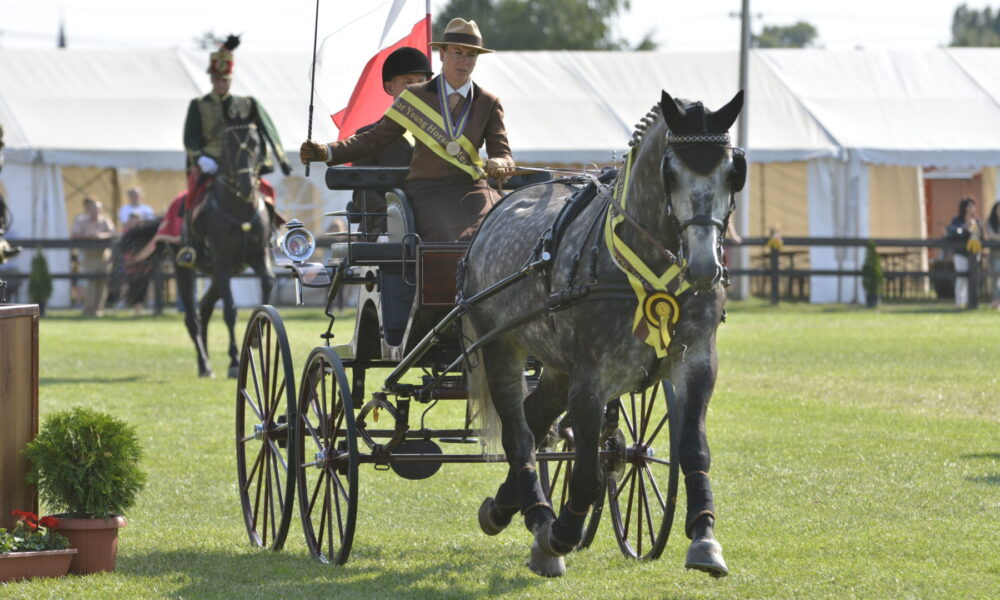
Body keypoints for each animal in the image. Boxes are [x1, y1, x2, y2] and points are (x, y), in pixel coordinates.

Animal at [122, 122, 276, 378]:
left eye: (256, 142)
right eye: (228, 144)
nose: (246, 185)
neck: (239, 207)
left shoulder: (256, 256)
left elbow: (267, 281)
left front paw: (257, 337)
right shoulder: (222, 262)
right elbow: (230, 311)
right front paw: (235, 363)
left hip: (223, 272)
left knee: (204, 308)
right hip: (185, 269)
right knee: (192, 319)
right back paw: (204, 364)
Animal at [460, 89, 744, 576]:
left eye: (732, 171)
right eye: (670, 172)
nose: (706, 267)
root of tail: (497, 209)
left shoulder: (696, 362)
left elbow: (693, 451)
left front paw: (705, 539)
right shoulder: (591, 379)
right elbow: (588, 473)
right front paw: (561, 535)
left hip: (556, 366)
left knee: (537, 421)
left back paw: (507, 507)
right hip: (500, 345)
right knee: (520, 435)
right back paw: (540, 521)